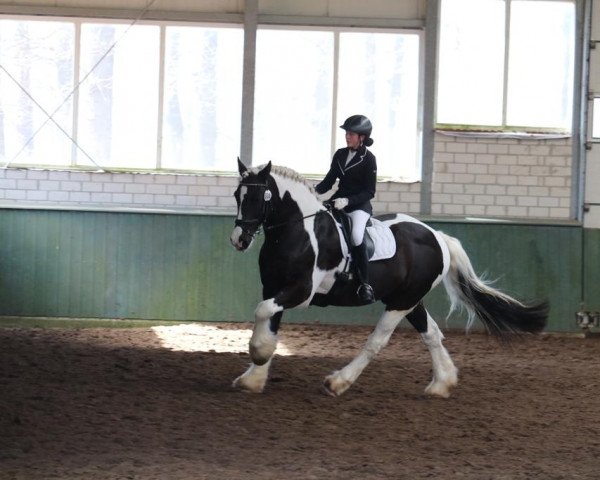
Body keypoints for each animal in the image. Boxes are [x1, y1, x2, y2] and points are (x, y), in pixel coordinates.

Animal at [230, 161, 548, 398]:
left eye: (258, 197)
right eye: (237, 196)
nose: (239, 240)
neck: (298, 230)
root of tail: (438, 237)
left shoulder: (301, 290)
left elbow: (263, 311)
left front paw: (257, 354)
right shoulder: (273, 287)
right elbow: (270, 320)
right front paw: (253, 377)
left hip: (401, 303)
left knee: (377, 341)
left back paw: (338, 382)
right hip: (409, 300)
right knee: (432, 334)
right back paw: (442, 384)